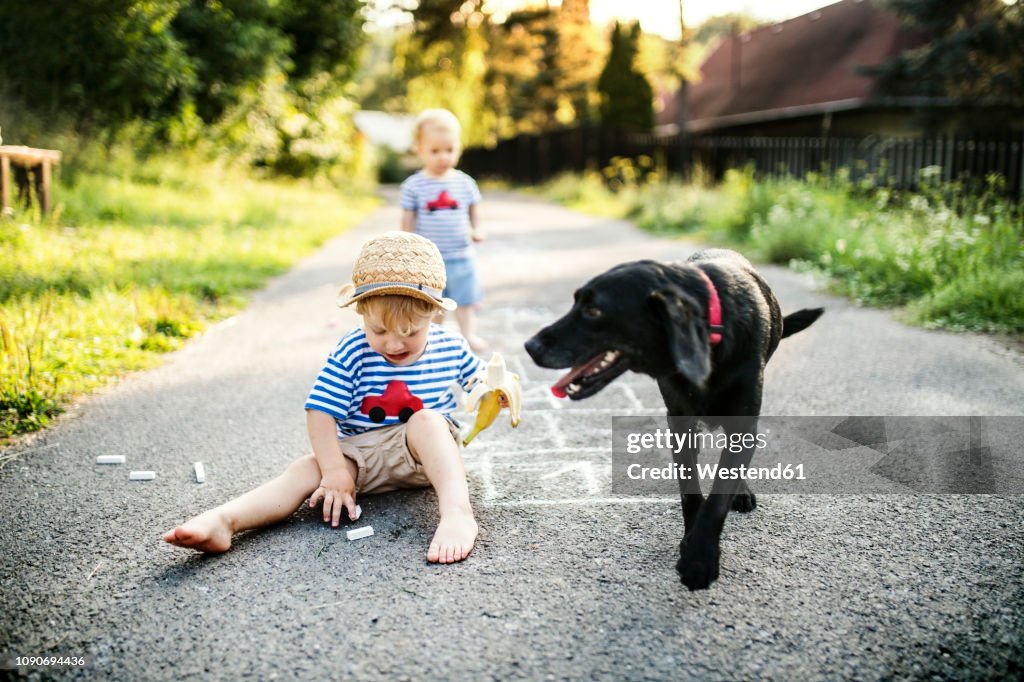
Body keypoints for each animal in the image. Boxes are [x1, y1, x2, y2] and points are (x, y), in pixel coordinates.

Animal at [528, 246, 823, 585]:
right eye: (576, 301)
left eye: (593, 310)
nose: (530, 346)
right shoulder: (680, 422)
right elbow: (690, 490)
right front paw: (691, 541)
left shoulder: (742, 422)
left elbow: (718, 496)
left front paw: (700, 558)